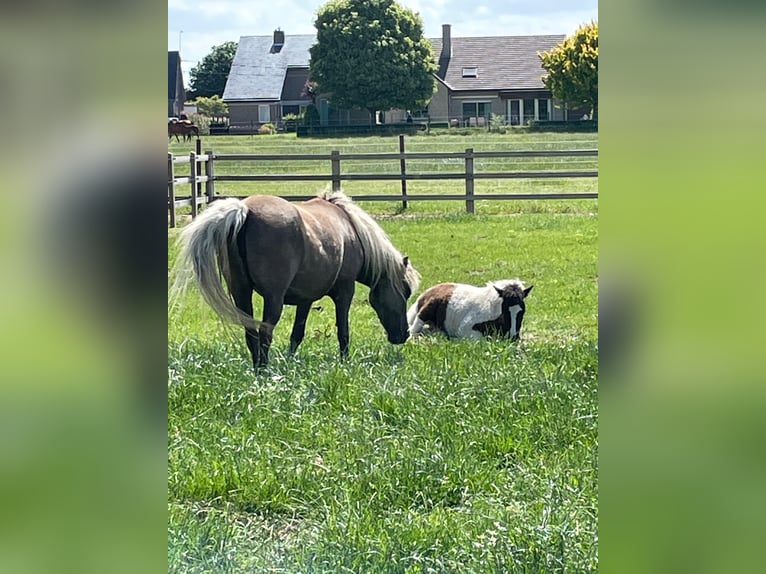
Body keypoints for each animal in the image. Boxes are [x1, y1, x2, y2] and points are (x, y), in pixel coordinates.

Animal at [172, 190, 424, 368]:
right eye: (405, 290)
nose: (403, 335)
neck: (350, 229)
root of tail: (244, 211)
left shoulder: (306, 299)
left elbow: (297, 334)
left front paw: (290, 361)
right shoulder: (345, 291)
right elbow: (343, 330)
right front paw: (345, 362)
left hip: (241, 292)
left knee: (251, 334)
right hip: (273, 298)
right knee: (265, 333)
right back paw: (265, 372)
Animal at [408, 280, 536, 342]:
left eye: (522, 311)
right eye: (504, 311)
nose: (513, 337)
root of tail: (424, 294)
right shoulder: (465, 328)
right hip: (425, 312)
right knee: (413, 330)